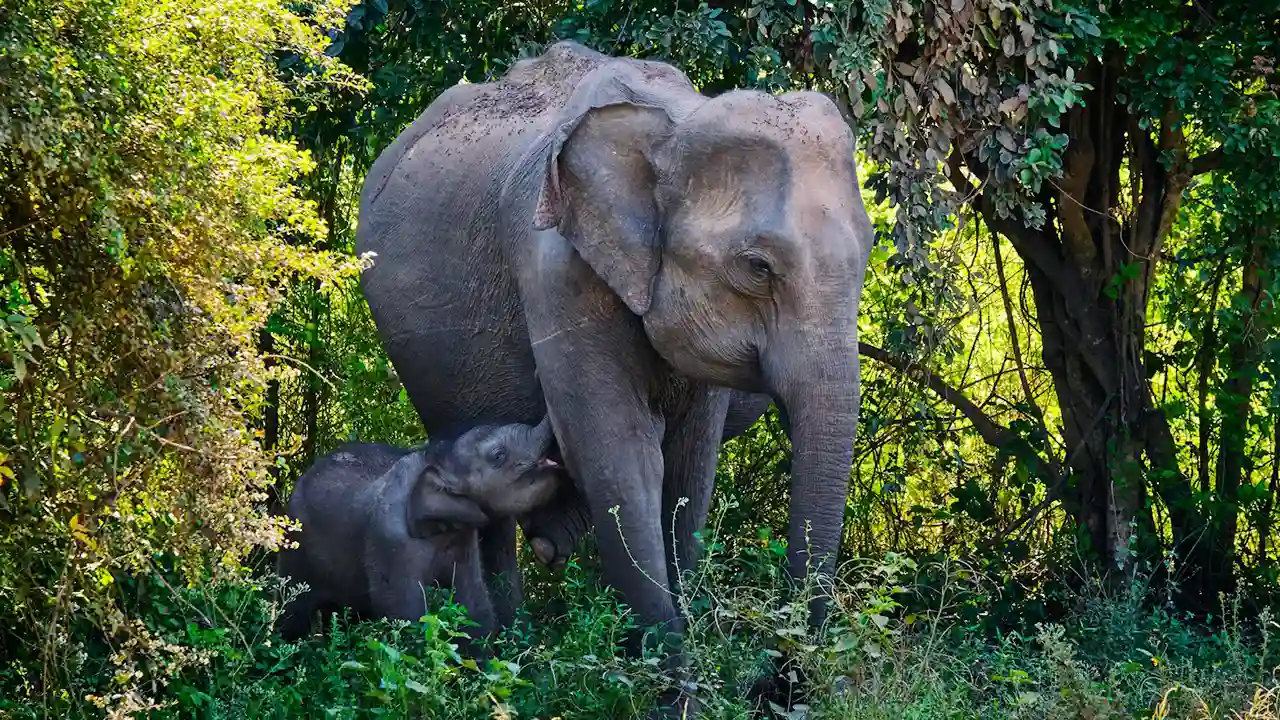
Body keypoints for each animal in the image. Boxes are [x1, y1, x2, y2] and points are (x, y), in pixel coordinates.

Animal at [275, 417, 564, 649]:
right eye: (498, 455)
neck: (436, 460)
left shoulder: (462, 538)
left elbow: (473, 600)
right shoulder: (390, 542)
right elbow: (406, 612)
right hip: (296, 548)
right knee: (292, 611)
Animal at [356, 40, 873, 712]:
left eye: (869, 252)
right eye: (758, 267)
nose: (775, 686)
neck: (675, 124)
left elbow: (688, 474)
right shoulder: (558, 272)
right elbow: (623, 460)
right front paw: (675, 700)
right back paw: (504, 662)